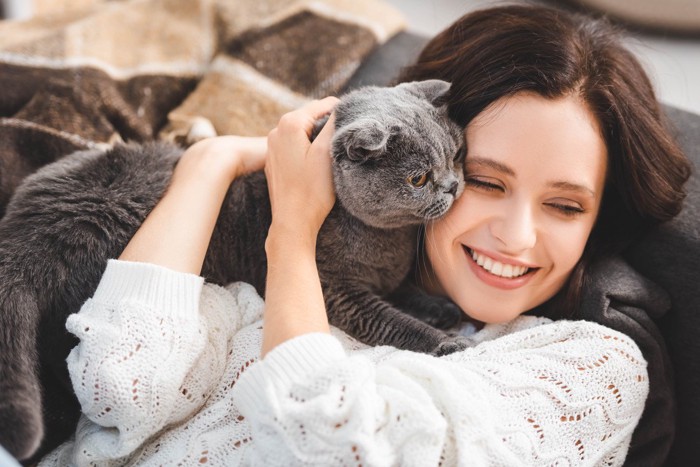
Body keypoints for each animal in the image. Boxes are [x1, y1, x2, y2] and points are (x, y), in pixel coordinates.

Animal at [1, 78, 470, 462]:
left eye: (456, 155)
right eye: (418, 179)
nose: (453, 186)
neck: (388, 242)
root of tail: (30, 228)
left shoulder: (388, 278)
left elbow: (405, 293)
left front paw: (443, 309)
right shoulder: (336, 292)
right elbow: (393, 321)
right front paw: (446, 343)